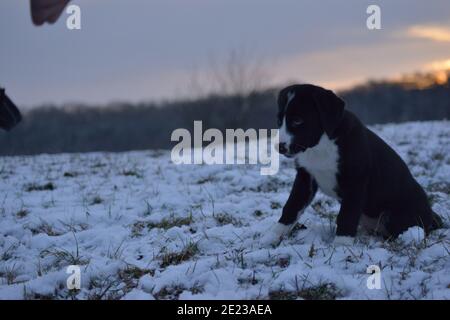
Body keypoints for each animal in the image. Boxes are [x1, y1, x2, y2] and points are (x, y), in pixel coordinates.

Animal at [264, 84, 442, 246]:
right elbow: (291, 206)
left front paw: (341, 246)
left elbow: (347, 214)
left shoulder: (356, 181)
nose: (279, 147)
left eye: (297, 121)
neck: (322, 145)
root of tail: (431, 215)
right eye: (279, 121)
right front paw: (273, 236)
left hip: (396, 214)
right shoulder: (305, 177)